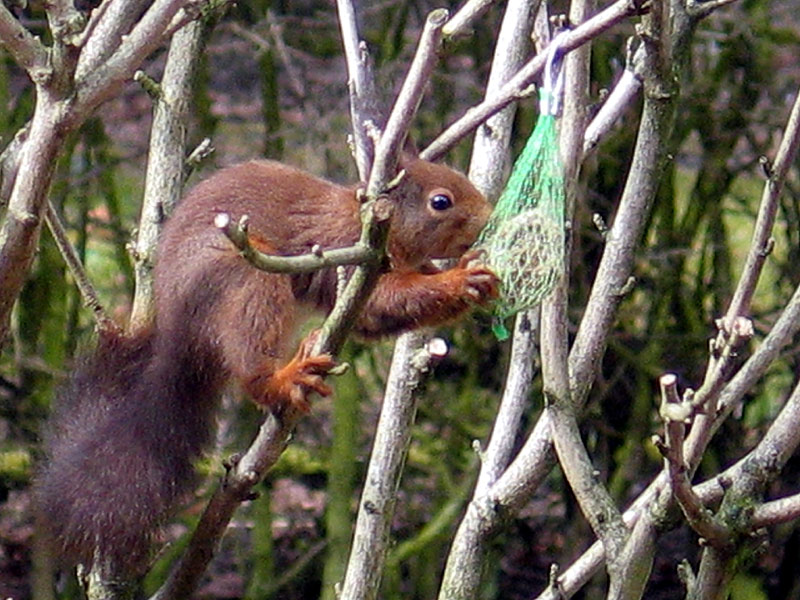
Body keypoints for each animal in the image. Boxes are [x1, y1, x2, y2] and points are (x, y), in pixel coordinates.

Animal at [37, 158, 496, 576]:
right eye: (441, 201)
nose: (487, 216)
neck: (375, 226)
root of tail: (177, 338)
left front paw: (471, 273)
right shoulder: (349, 256)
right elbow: (385, 299)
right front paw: (460, 279)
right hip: (246, 278)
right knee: (249, 364)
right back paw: (282, 378)